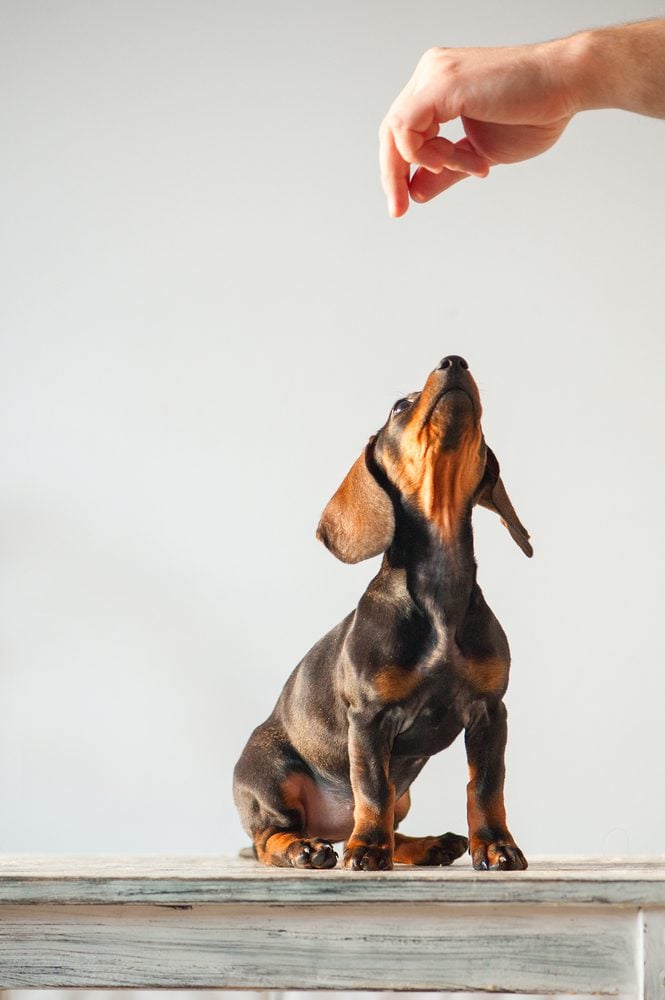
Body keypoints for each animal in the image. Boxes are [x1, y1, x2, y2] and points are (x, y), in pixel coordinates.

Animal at [233, 356, 528, 872]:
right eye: (398, 406)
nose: (454, 361)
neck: (439, 593)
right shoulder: (369, 719)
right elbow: (372, 790)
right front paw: (367, 849)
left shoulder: (491, 711)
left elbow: (486, 787)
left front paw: (494, 845)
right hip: (272, 777)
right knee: (269, 837)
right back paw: (307, 848)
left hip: (404, 795)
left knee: (394, 817)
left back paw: (428, 844)